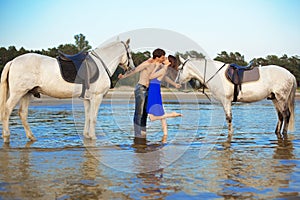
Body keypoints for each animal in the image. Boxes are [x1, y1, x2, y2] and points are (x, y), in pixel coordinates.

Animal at [0, 38, 134, 142]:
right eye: (130, 53)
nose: (132, 68)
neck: (101, 64)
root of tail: (13, 61)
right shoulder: (97, 97)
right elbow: (93, 118)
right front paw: (93, 137)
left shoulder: (87, 99)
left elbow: (88, 117)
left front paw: (87, 136)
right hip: (17, 93)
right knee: (7, 110)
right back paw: (7, 136)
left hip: (27, 93)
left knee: (22, 113)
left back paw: (31, 137)